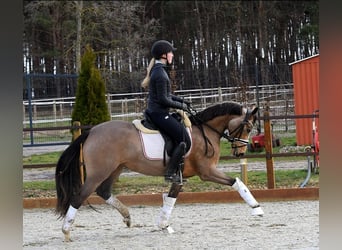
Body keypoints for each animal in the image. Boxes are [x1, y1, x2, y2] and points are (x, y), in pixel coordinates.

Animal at [54, 100, 264, 241]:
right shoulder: (207, 172)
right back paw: (66, 231)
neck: (205, 131)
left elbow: (171, 198)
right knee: (79, 197)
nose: (240, 152)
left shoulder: (180, 177)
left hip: (115, 168)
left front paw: (163, 225)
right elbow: (236, 182)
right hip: (99, 172)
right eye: (248, 127)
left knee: (104, 191)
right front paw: (257, 208)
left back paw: (127, 217)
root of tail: (91, 132)